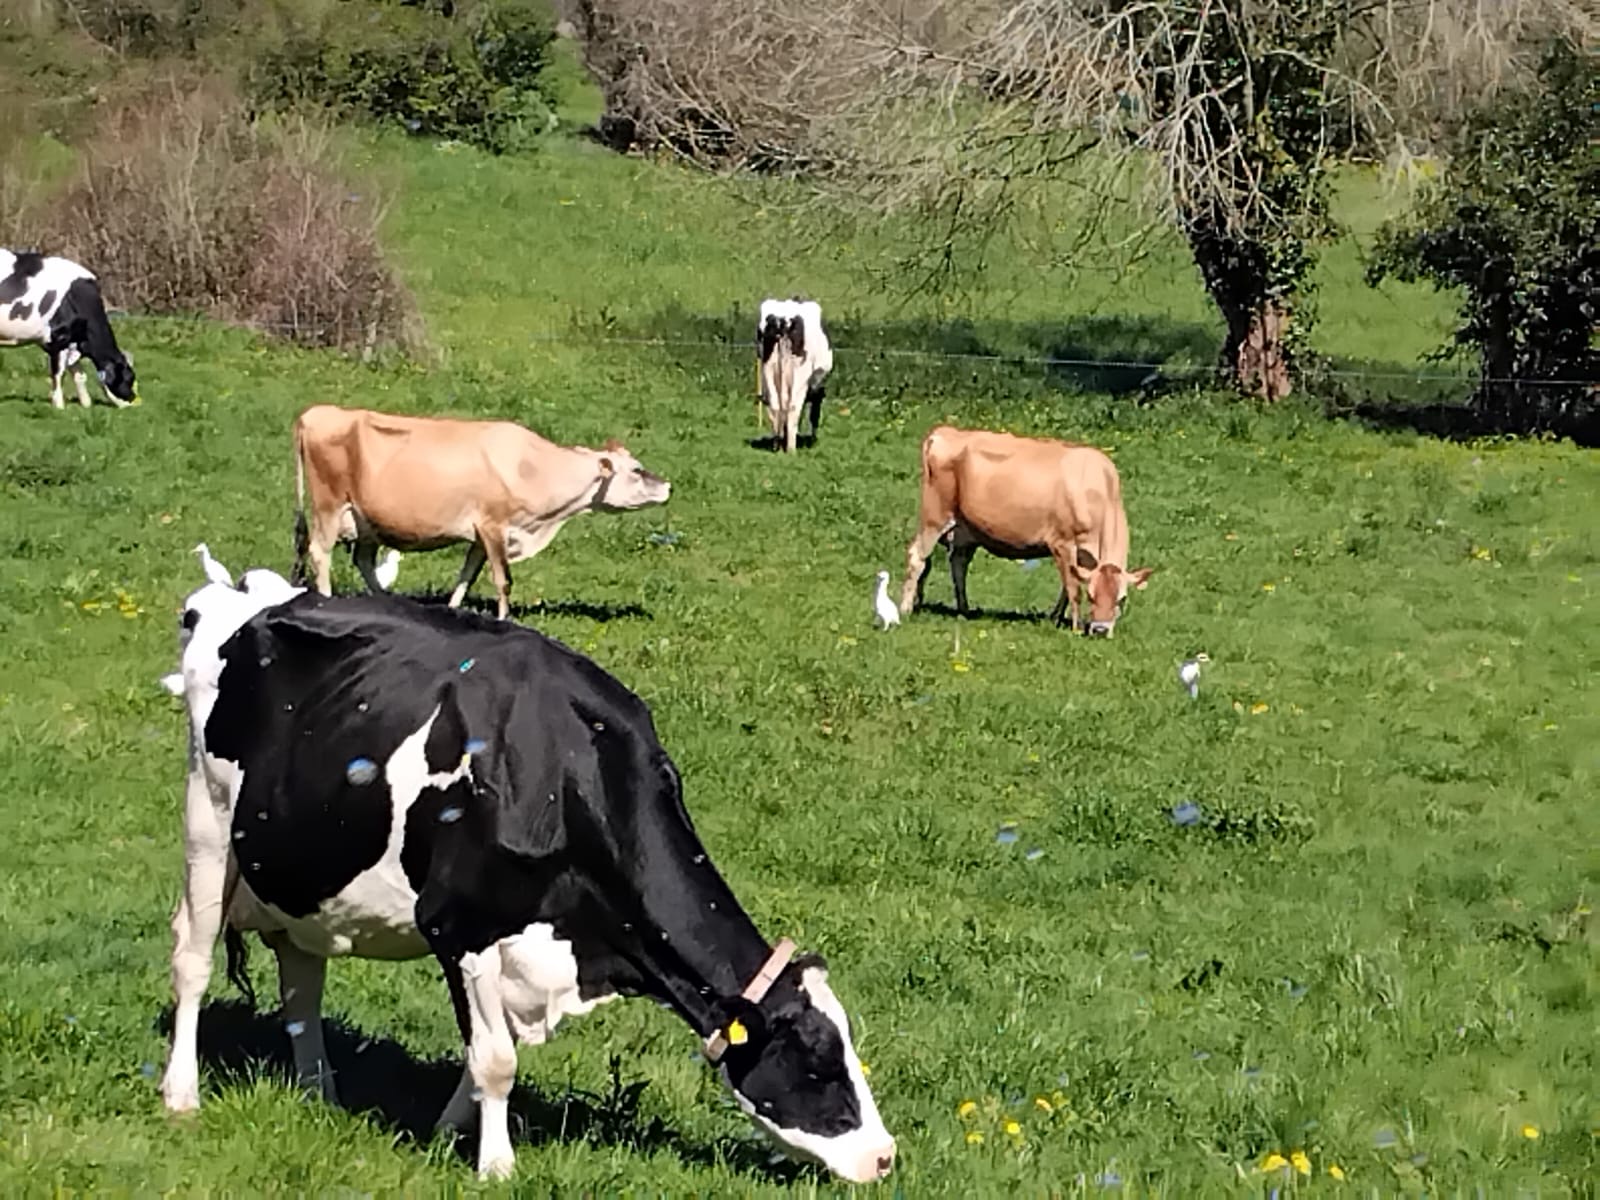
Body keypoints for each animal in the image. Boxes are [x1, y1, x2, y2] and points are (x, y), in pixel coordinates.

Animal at [0, 249, 137, 409]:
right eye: (129, 378)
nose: (134, 401)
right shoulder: (58, 340)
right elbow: (58, 374)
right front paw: (59, 405)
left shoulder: (72, 342)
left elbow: (79, 375)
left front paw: (86, 403)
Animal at [157, 575, 896, 1184]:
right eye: (817, 1062)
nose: (886, 1157)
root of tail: (242, 595)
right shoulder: (461, 925)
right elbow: (495, 1059)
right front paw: (497, 1167)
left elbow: (486, 1051)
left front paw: (447, 1134)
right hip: (207, 823)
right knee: (192, 958)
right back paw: (181, 1092)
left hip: (304, 875)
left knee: (301, 984)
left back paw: (318, 1091)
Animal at [291, 406, 671, 620]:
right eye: (637, 470)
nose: (668, 486)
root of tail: (315, 413)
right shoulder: (494, 525)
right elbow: (503, 580)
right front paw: (505, 620)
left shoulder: (479, 535)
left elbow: (467, 575)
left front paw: (452, 609)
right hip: (329, 505)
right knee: (320, 552)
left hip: (365, 520)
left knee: (363, 560)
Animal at [756, 298, 833, 453]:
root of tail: (783, 320)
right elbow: (813, 415)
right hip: (800, 374)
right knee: (792, 407)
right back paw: (791, 449)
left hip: (768, 368)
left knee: (776, 406)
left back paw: (777, 445)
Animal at [899, 426, 1154, 636]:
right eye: (1092, 596)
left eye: (1122, 598)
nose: (1100, 630)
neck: (1096, 490)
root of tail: (944, 432)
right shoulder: (1062, 543)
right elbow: (1073, 588)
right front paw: (1075, 626)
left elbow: (1066, 586)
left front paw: (1056, 617)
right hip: (935, 516)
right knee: (918, 557)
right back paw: (905, 608)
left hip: (965, 529)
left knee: (955, 564)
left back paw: (959, 609)